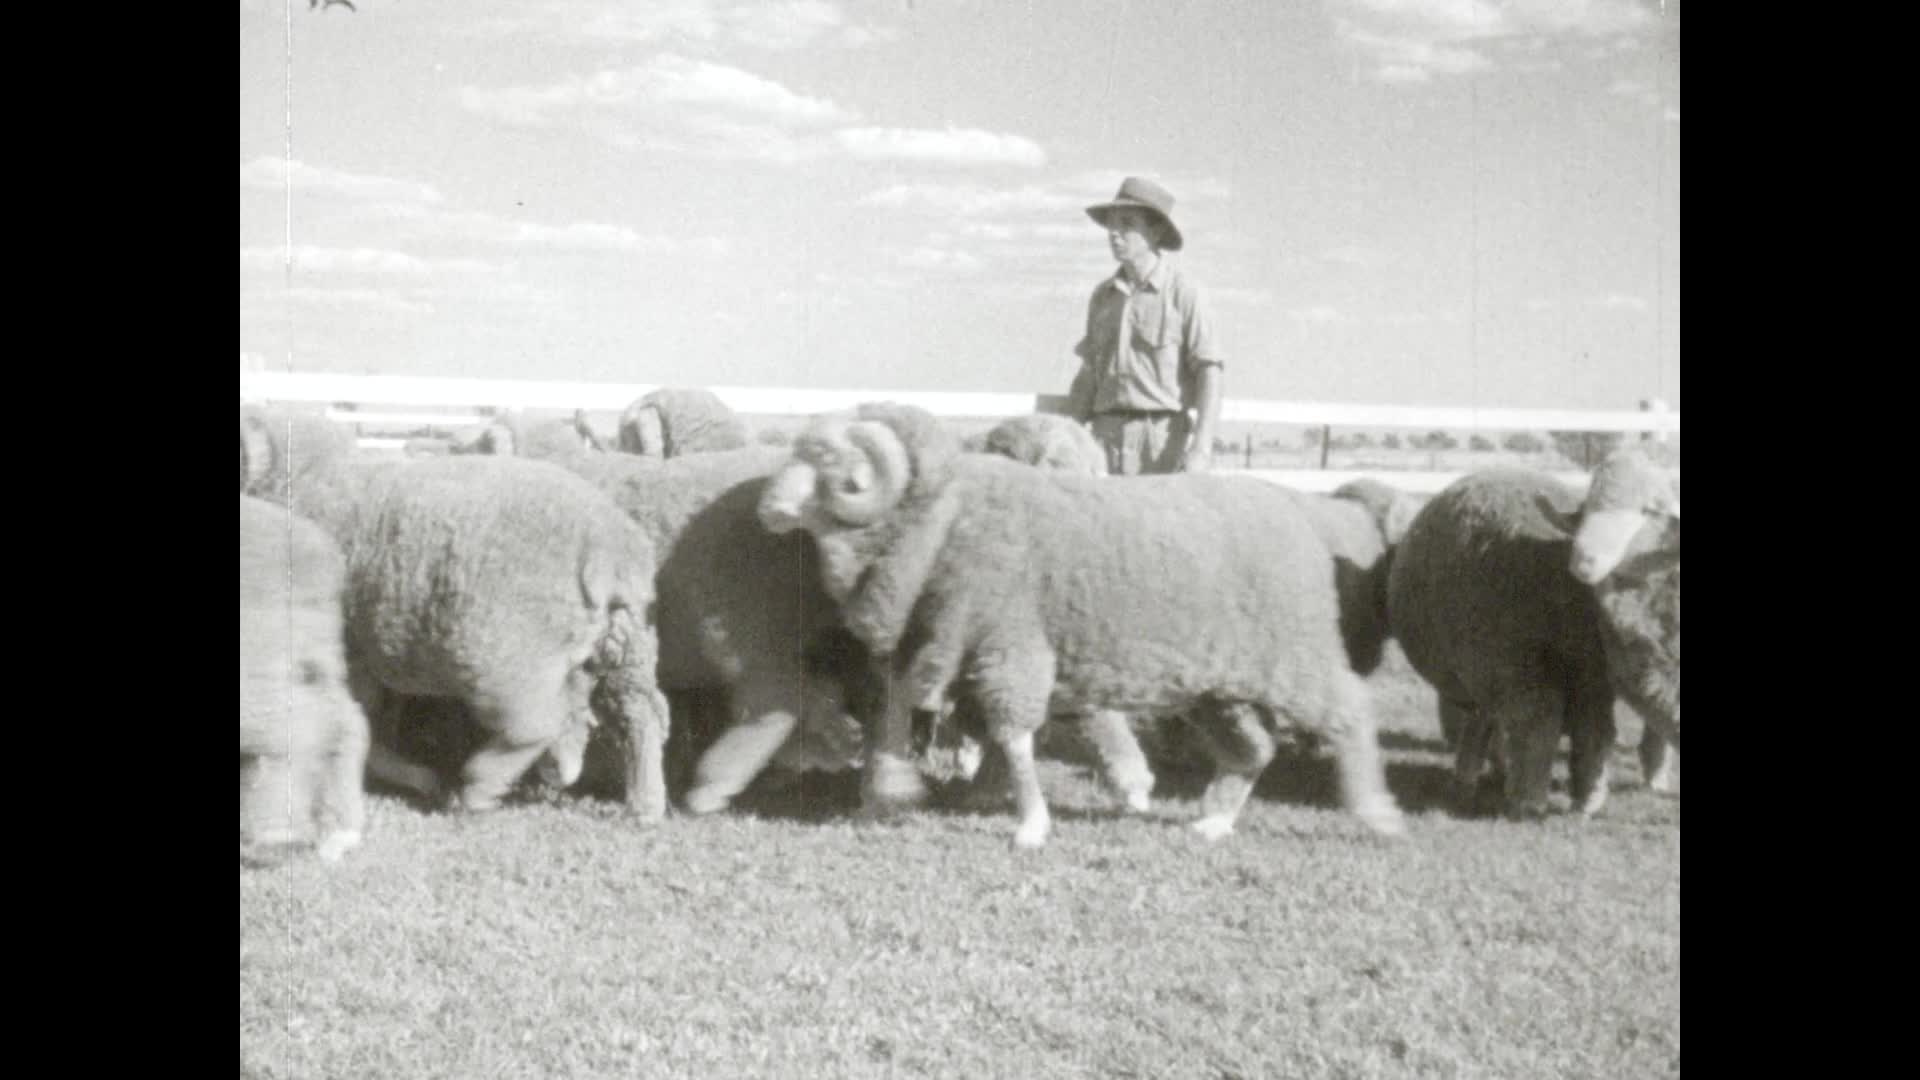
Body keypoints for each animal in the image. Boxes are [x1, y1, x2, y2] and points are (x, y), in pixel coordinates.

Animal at [757, 402, 1407, 848]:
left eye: (830, 463)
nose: (768, 509)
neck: (948, 515)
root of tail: (1300, 518)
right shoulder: (946, 648)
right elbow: (912, 719)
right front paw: (890, 795)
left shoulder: (1012, 650)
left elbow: (1015, 739)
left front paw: (1030, 826)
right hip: (1220, 685)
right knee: (1254, 749)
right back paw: (1215, 820)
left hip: (1295, 661)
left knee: (1351, 711)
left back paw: (1379, 815)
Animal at [1385, 467, 1616, 818]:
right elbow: (1485, 725)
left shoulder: (1484, 671)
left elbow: (1480, 725)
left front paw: (1470, 779)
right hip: (1590, 663)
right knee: (1592, 723)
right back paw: (1586, 801)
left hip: (1514, 655)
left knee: (1538, 721)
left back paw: (1527, 802)